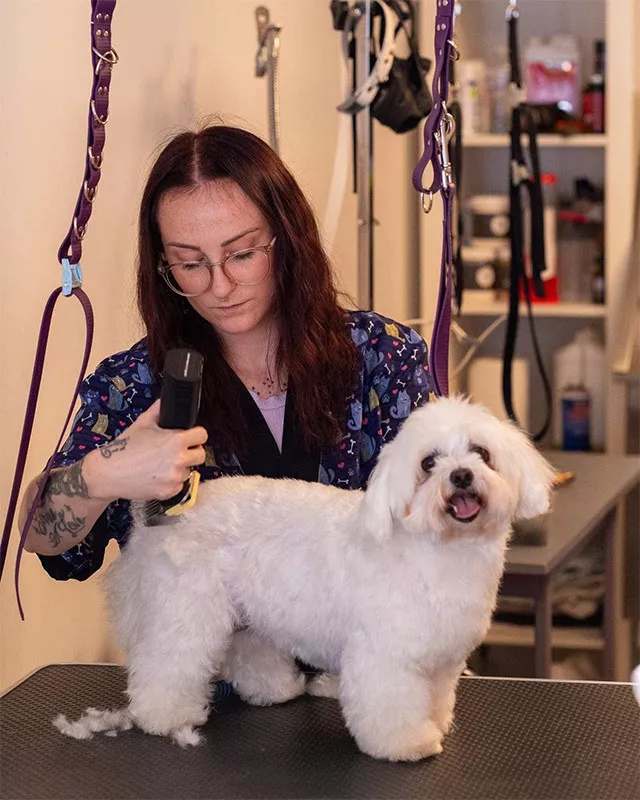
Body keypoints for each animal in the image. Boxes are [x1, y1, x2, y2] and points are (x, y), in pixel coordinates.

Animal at [106, 396, 556, 760]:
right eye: (429, 463)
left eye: (481, 452)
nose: (460, 475)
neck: (439, 549)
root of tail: (163, 517)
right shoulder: (386, 654)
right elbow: (390, 703)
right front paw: (407, 743)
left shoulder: (442, 659)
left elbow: (436, 697)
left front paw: (435, 723)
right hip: (187, 610)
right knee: (168, 661)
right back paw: (164, 715)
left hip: (251, 612)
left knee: (247, 650)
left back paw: (274, 689)